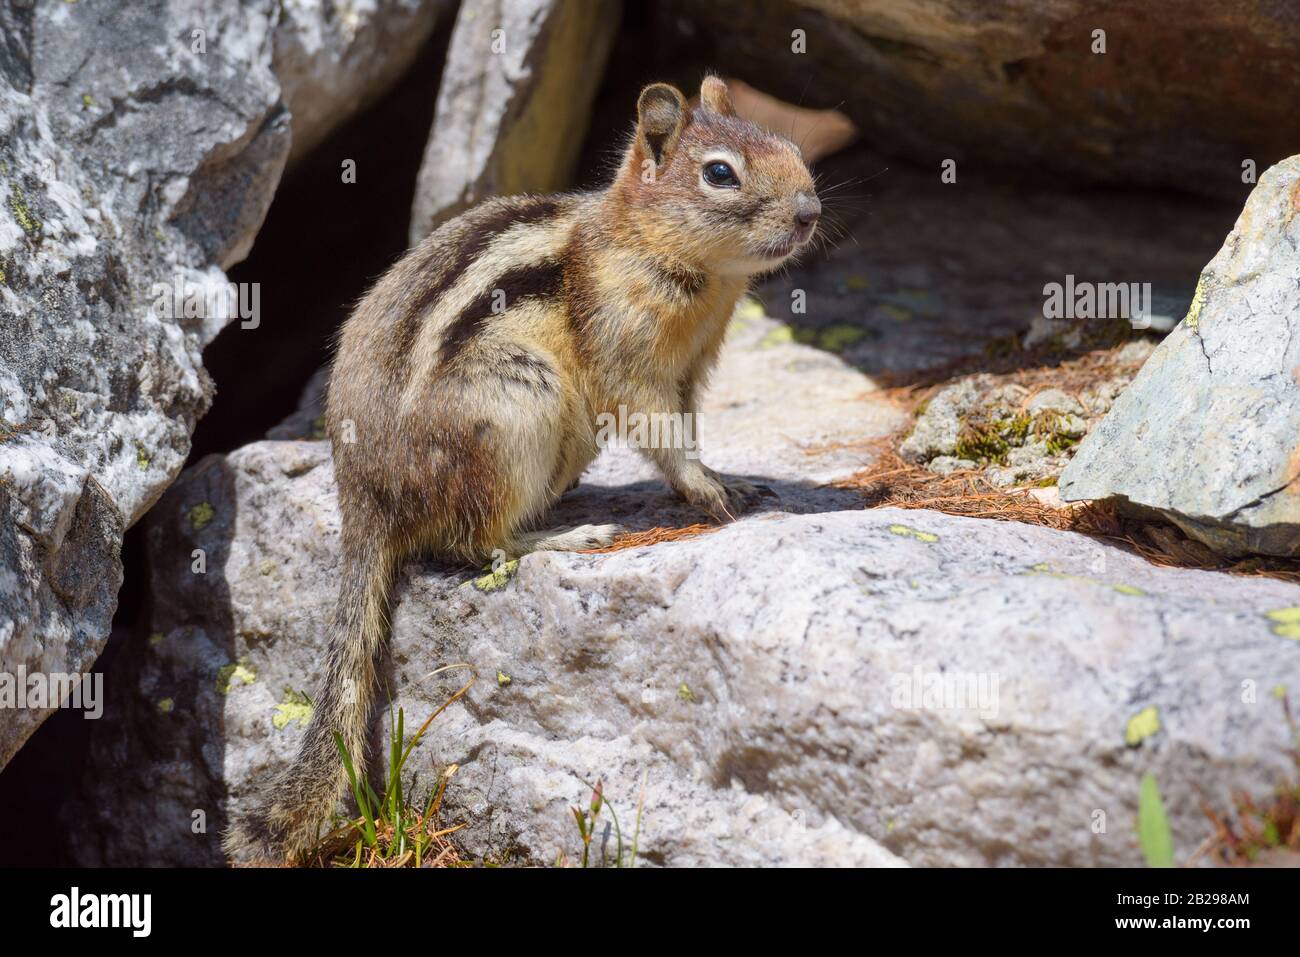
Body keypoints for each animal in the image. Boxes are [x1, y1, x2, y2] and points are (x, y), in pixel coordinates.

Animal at [224, 76, 821, 863]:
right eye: (721, 173)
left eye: (786, 145)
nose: (811, 211)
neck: (656, 249)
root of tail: (362, 499)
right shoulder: (629, 360)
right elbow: (658, 432)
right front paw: (709, 489)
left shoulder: (692, 370)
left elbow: (686, 432)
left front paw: (728, 478)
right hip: (514, 405)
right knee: (477, 542)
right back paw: (569, 536)